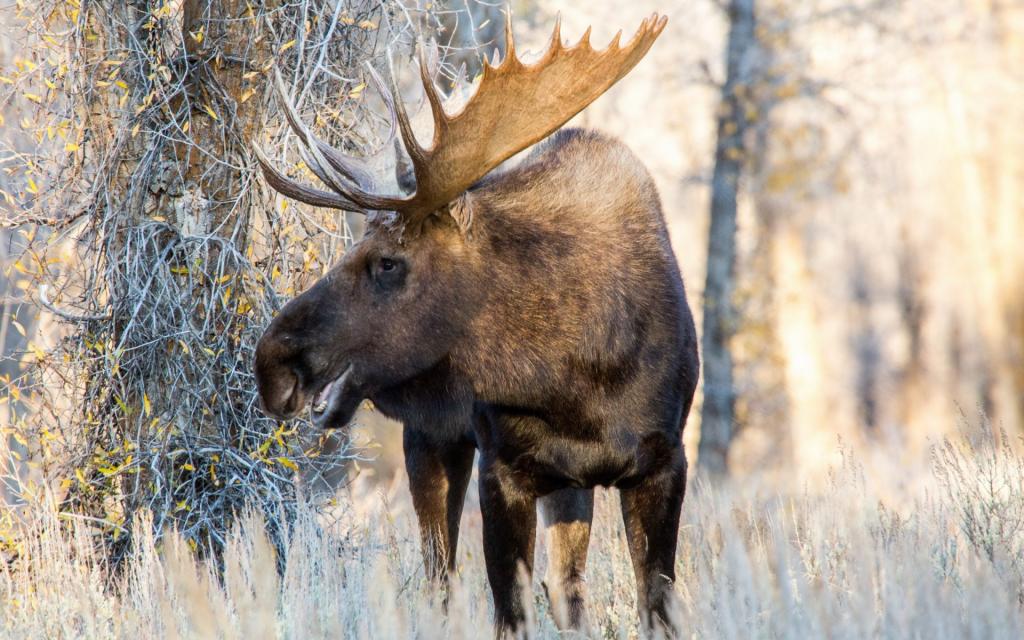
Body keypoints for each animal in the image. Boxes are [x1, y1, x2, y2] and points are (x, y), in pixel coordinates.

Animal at [253, 12, 698, 636]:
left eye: (387, 261)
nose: (272, 361)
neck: (577, 382)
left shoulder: (664, 461)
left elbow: (652, 605)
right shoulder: (502, 465)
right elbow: (509, 609)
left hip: (566, 484)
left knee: (566, 589)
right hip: (434, 440)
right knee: (439, 579)